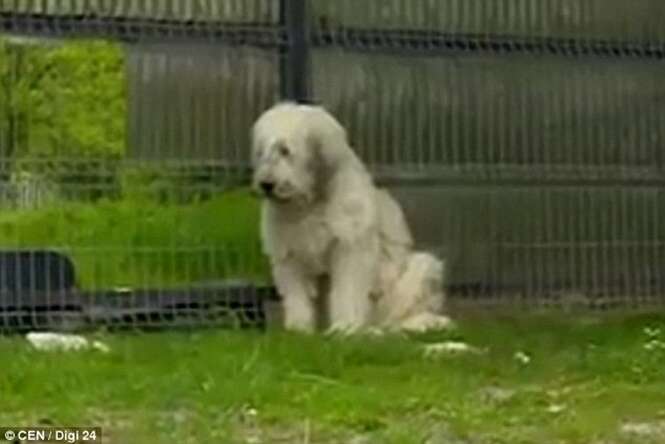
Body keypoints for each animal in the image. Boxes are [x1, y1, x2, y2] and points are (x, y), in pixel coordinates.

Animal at [250, 103, 452, 332]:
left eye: (285, 150)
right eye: (261, 152)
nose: (266, 184)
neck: (311, 204)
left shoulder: (350, 249)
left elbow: (348, 290)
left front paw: (345, 328)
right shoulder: (290, 256)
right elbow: (297, 296)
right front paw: (299, 330)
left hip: (420, 270)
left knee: (397, 317)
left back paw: (421, 323)